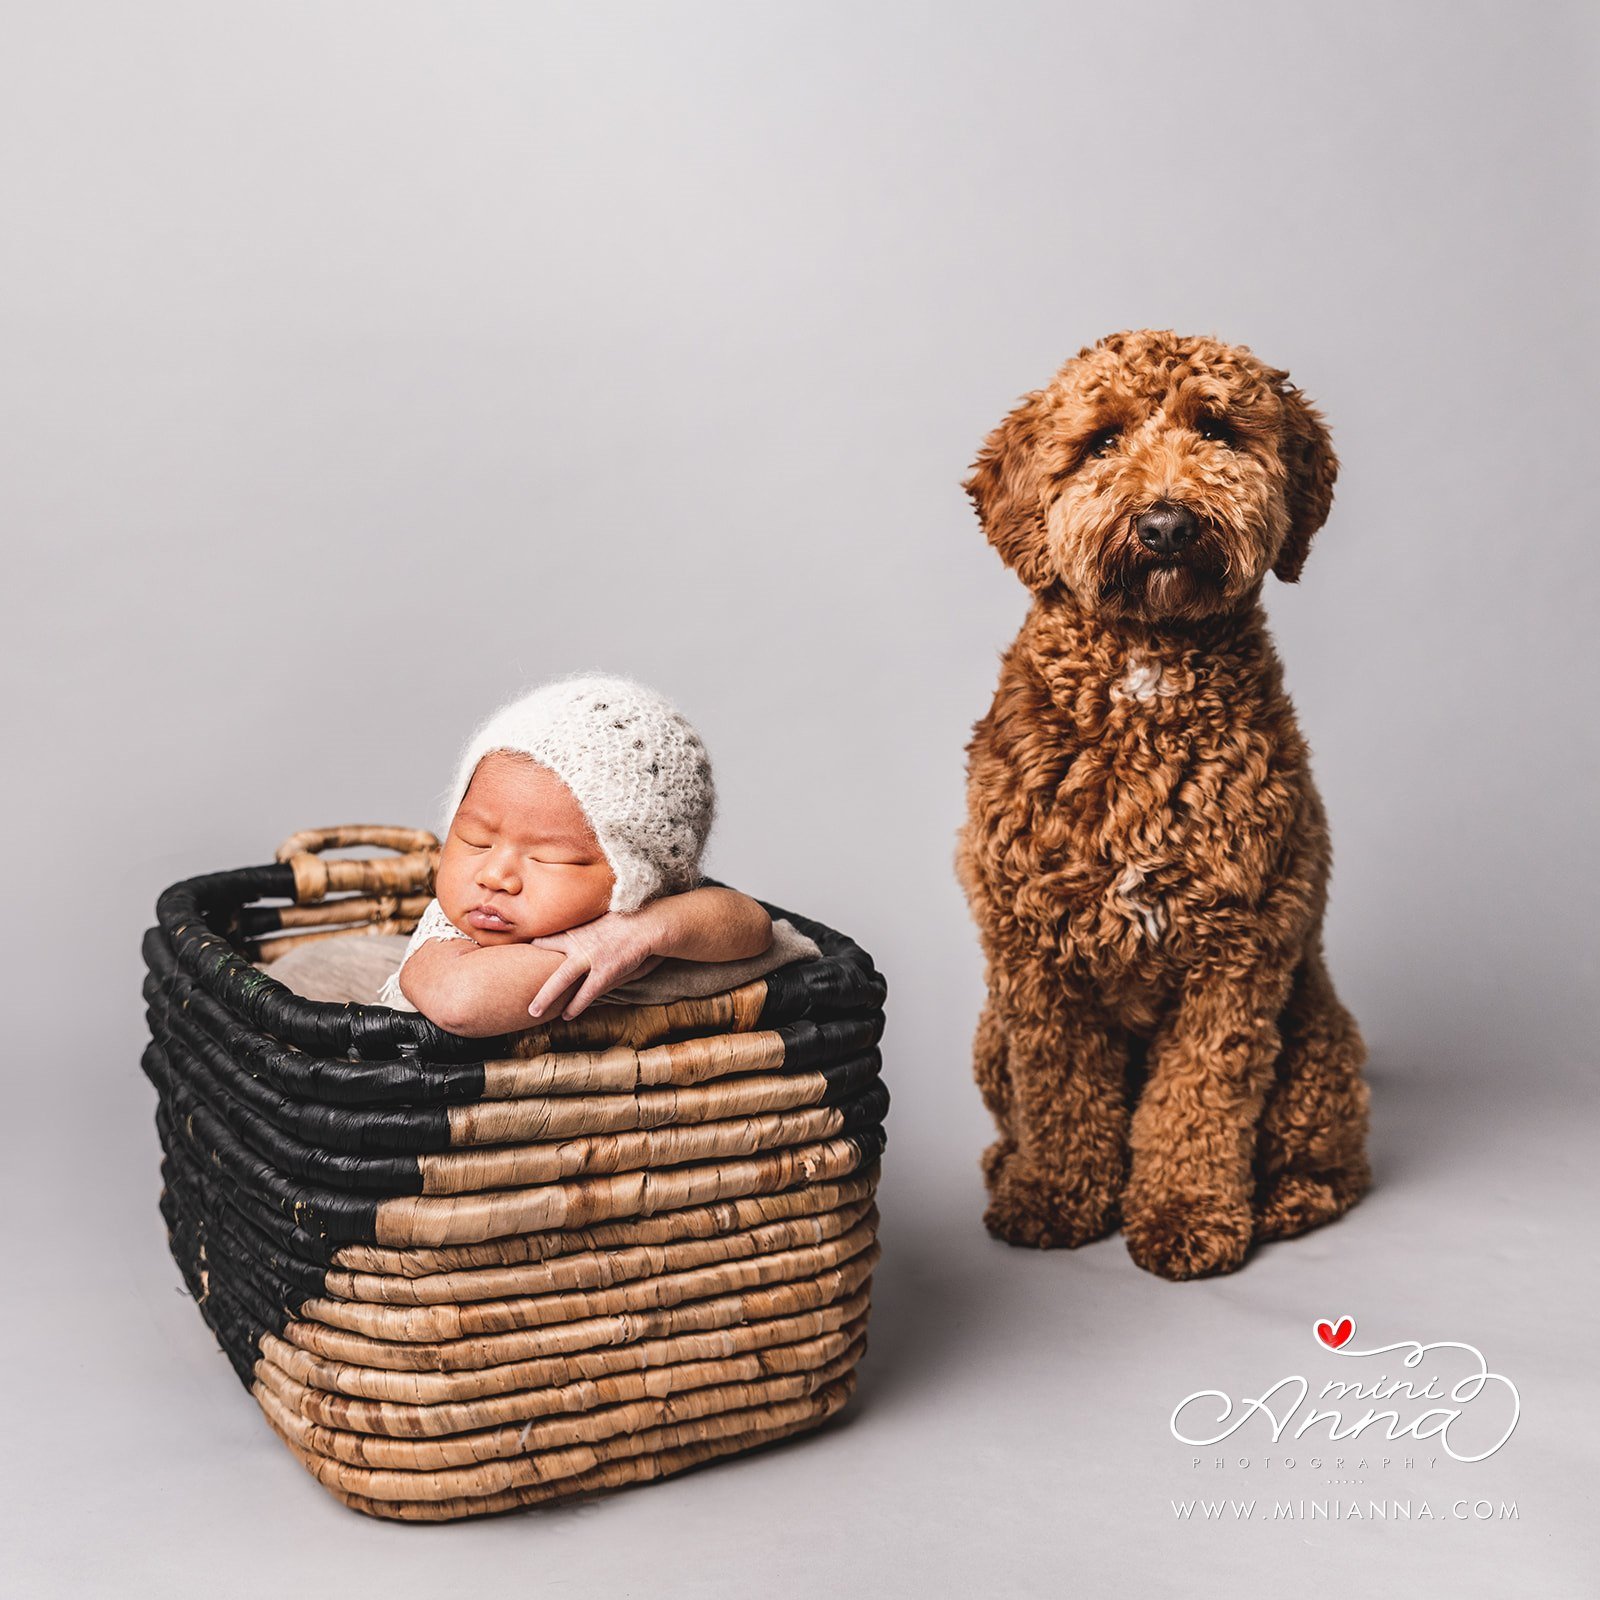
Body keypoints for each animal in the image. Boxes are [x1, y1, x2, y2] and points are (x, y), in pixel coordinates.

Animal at [953, 331, 1369, 1280]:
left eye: (1217, 430)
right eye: (1101, 442)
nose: (1168, 524)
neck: (1147, 662)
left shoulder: (1237, 955)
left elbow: (1196, 1104)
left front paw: (1184, 1215)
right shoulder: (1035, 957)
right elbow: (1062, 1093)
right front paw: (1052, 1198)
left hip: (1316, 1050)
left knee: (1337, 1166)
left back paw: (1283, 1200)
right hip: (992, 1031)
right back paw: (1006, 1166)